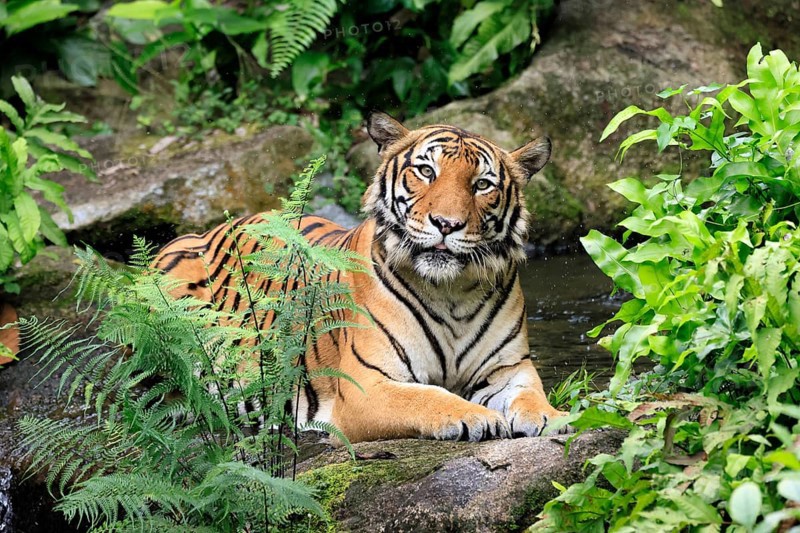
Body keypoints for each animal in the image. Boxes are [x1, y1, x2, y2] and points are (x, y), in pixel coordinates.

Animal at [152, 112, 568, 443]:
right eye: (426, 171)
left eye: (482, 184)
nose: (446, 224)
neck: (453, 291)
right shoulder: (366, 385)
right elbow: (425, 396)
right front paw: (477, 417)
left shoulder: (508, 369)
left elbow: (530, 395)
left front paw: (554, 418)